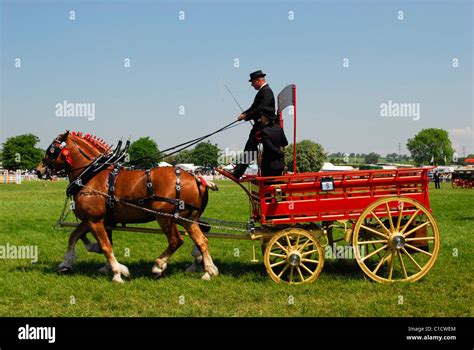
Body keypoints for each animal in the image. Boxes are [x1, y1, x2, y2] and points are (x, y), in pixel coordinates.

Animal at [36, 131, 219, 282]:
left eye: (51, 150)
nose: (38, 170)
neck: (92, 175)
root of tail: (197, 178)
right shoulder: (93, 220)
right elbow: (74, 237)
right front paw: (66, 264)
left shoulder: (95, 220)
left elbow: (106, 246)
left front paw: (117, 272)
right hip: (188, 219)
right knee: (202, 241)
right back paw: (208, 271)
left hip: (164, 217)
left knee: (176, 240)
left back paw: (158, 266)